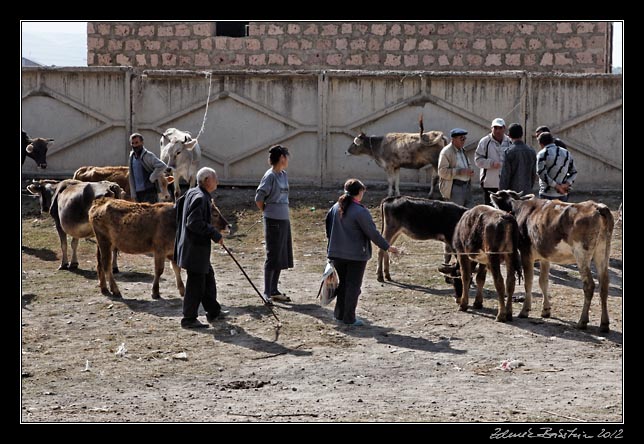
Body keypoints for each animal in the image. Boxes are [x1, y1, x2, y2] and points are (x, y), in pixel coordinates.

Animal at [89, 198, 230, 298]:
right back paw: (115, 290)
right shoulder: (159, 250)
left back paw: (104, 288)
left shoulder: (172, 251)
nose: (229, 226)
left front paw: (182, 289)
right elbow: (159, 270)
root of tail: (100, 202)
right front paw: (155, 292)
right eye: (215, 214)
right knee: (106, 265)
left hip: (102, 244)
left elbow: (176, 268)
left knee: (99, 264)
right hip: (105, 242)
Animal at [494, 189, 612, 332]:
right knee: (604, 285)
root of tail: (597, 207)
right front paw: (546, 310)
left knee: (589, 285)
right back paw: (604, 324)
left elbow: (529, 282)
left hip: (582, 255)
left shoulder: (526, 253)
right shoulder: (545, 257)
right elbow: (543, 281)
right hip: (603, 253)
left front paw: (524, 311)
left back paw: (582, 322)